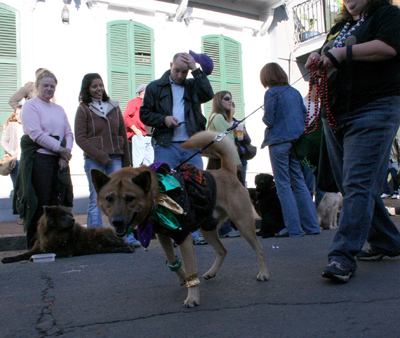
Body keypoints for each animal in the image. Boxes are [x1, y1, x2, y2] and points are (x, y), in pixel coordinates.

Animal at [1, 205, 134, 262]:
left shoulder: (64, 250)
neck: (54, 233)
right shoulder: (39, 247)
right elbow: (23, 254)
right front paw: (8, 258)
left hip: (104, 238)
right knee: (114, 248)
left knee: (121, 245)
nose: (73, 220)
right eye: (62, 216)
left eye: (69, 215)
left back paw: (129, 247)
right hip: (100, 247)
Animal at [91, 131, 268, 308]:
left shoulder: (183, 236)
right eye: (109, 198)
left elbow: (191, 271)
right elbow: (172, 260)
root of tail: (227, 171)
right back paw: (211, 272)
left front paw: (192, 297)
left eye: (130, 198)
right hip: (206, 229)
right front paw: (182, 277)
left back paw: (263, 273)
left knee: (259, 250)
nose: (117, 222)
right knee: (222, 251)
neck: (157, 196)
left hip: (243, 224)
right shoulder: (163, 235)